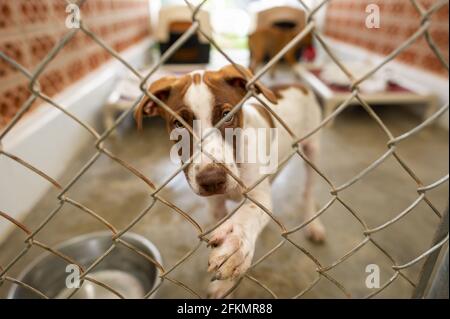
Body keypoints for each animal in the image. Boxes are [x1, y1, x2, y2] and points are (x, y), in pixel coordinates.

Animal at [135, 65, 326, 300]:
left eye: (227, 116)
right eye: (178, 124)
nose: (211, 180)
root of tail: (297, 84)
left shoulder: (258, 196)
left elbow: (249, 213)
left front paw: (235, 244)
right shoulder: (216, 205)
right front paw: (223, 286)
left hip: (312, 150)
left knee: (308, 191)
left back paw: (313, 224)